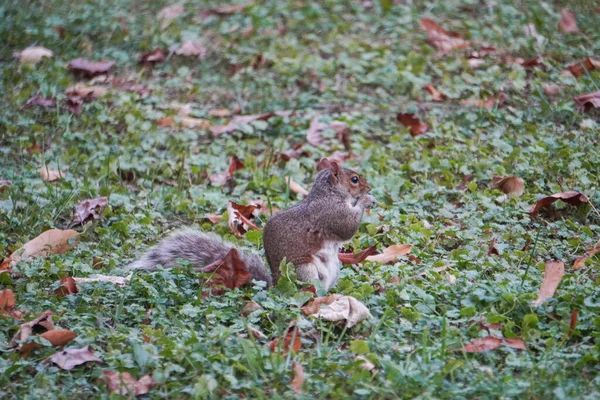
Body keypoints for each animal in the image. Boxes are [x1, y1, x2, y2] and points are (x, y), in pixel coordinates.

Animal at [126, 158, 376, 292]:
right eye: (354, 180)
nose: (369, 187)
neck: (328, 194)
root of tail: (275, 285)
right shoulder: (329, 214)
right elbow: (347, 227)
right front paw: (366, 200)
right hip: (304, 270)